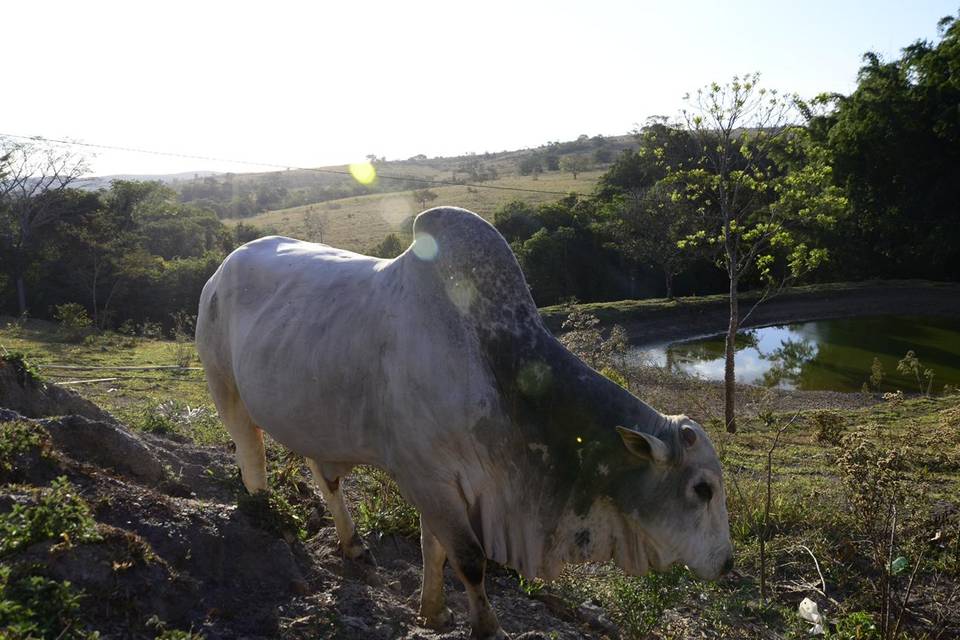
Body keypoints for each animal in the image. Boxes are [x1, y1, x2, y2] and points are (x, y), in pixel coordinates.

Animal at [197, 208, 736, 636]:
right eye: (702, 488)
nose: (727, 564)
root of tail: (222, 269)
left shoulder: (444, 482)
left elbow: (433, 550)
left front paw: (432, 612)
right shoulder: (426, 475)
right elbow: (469, 559)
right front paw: (486, 627)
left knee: (323, 475)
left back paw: (352, 545)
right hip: (225, 390)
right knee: (252, 459)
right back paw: (266, 517)